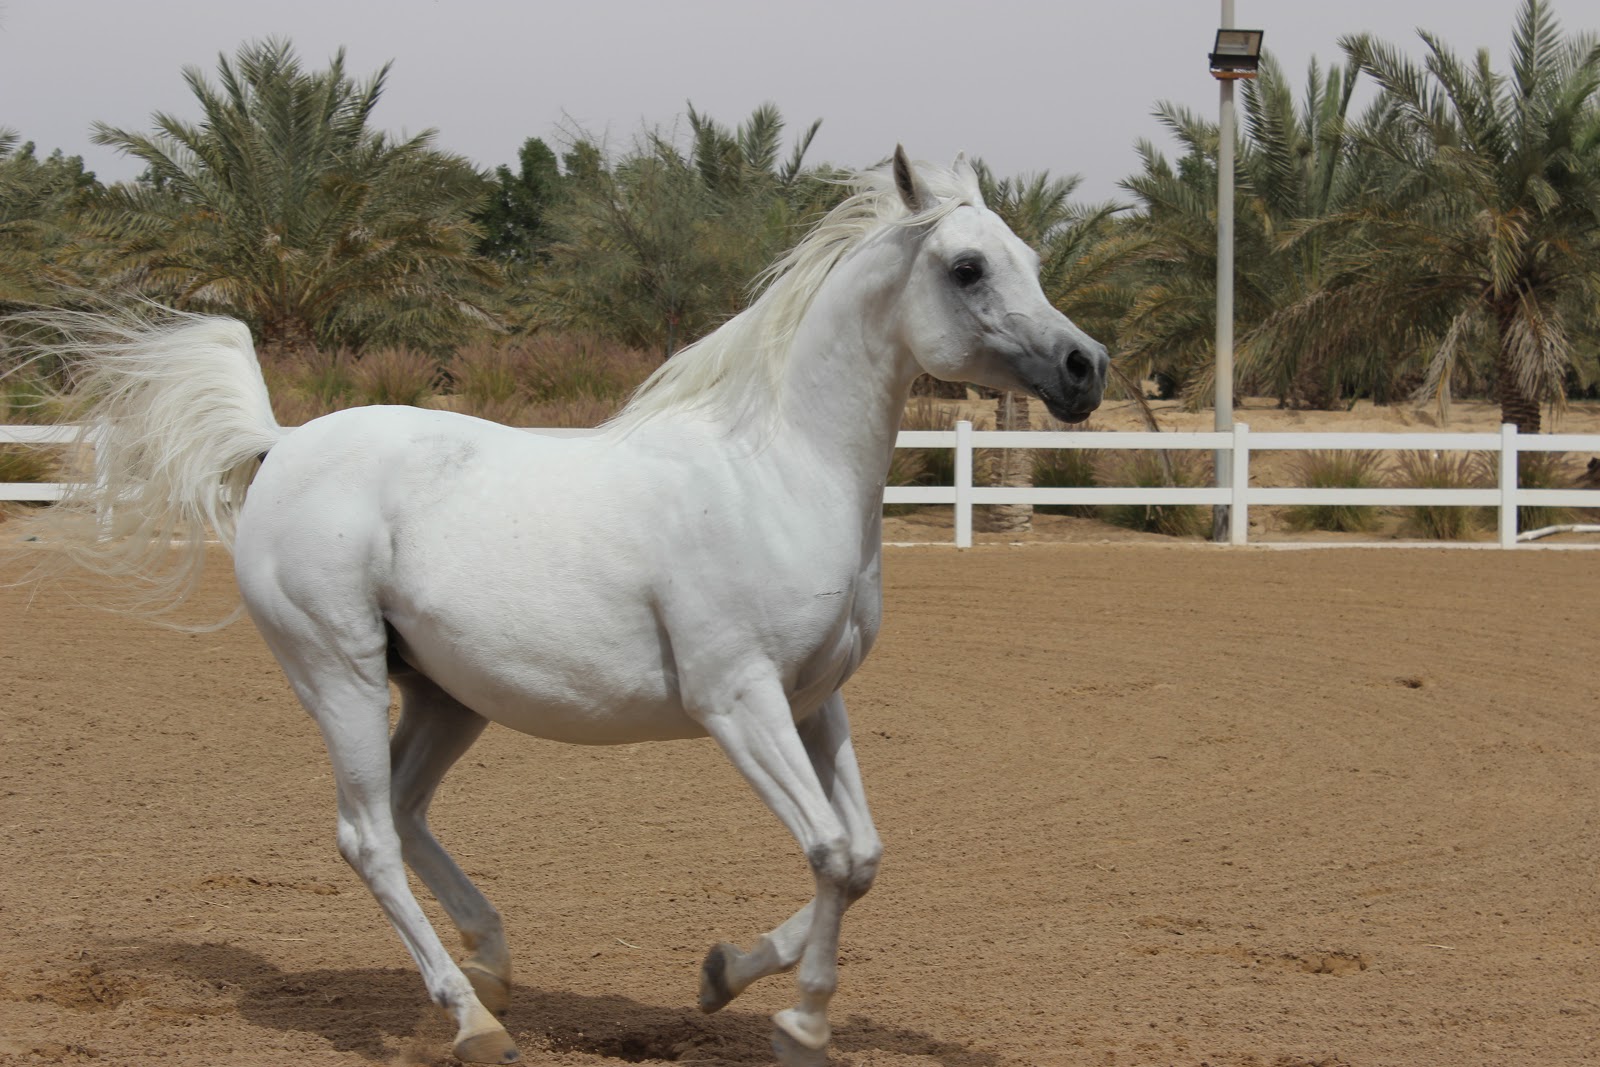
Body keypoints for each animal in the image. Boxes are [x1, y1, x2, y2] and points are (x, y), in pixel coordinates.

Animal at [16, 147, 1107, 1065]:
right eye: (967, 267)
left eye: (1030, 256)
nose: (1086, 369)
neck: (775, 472)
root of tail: (280, 442)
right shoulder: (738, 699)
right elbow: (832, 851)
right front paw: (799, 1022)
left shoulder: (813, 698)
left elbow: (863, 856)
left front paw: (724, 973)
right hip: (340, 675)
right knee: (368, 834)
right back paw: (474, 1019)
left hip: (447, 695)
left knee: (405, 811)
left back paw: (493, 964)